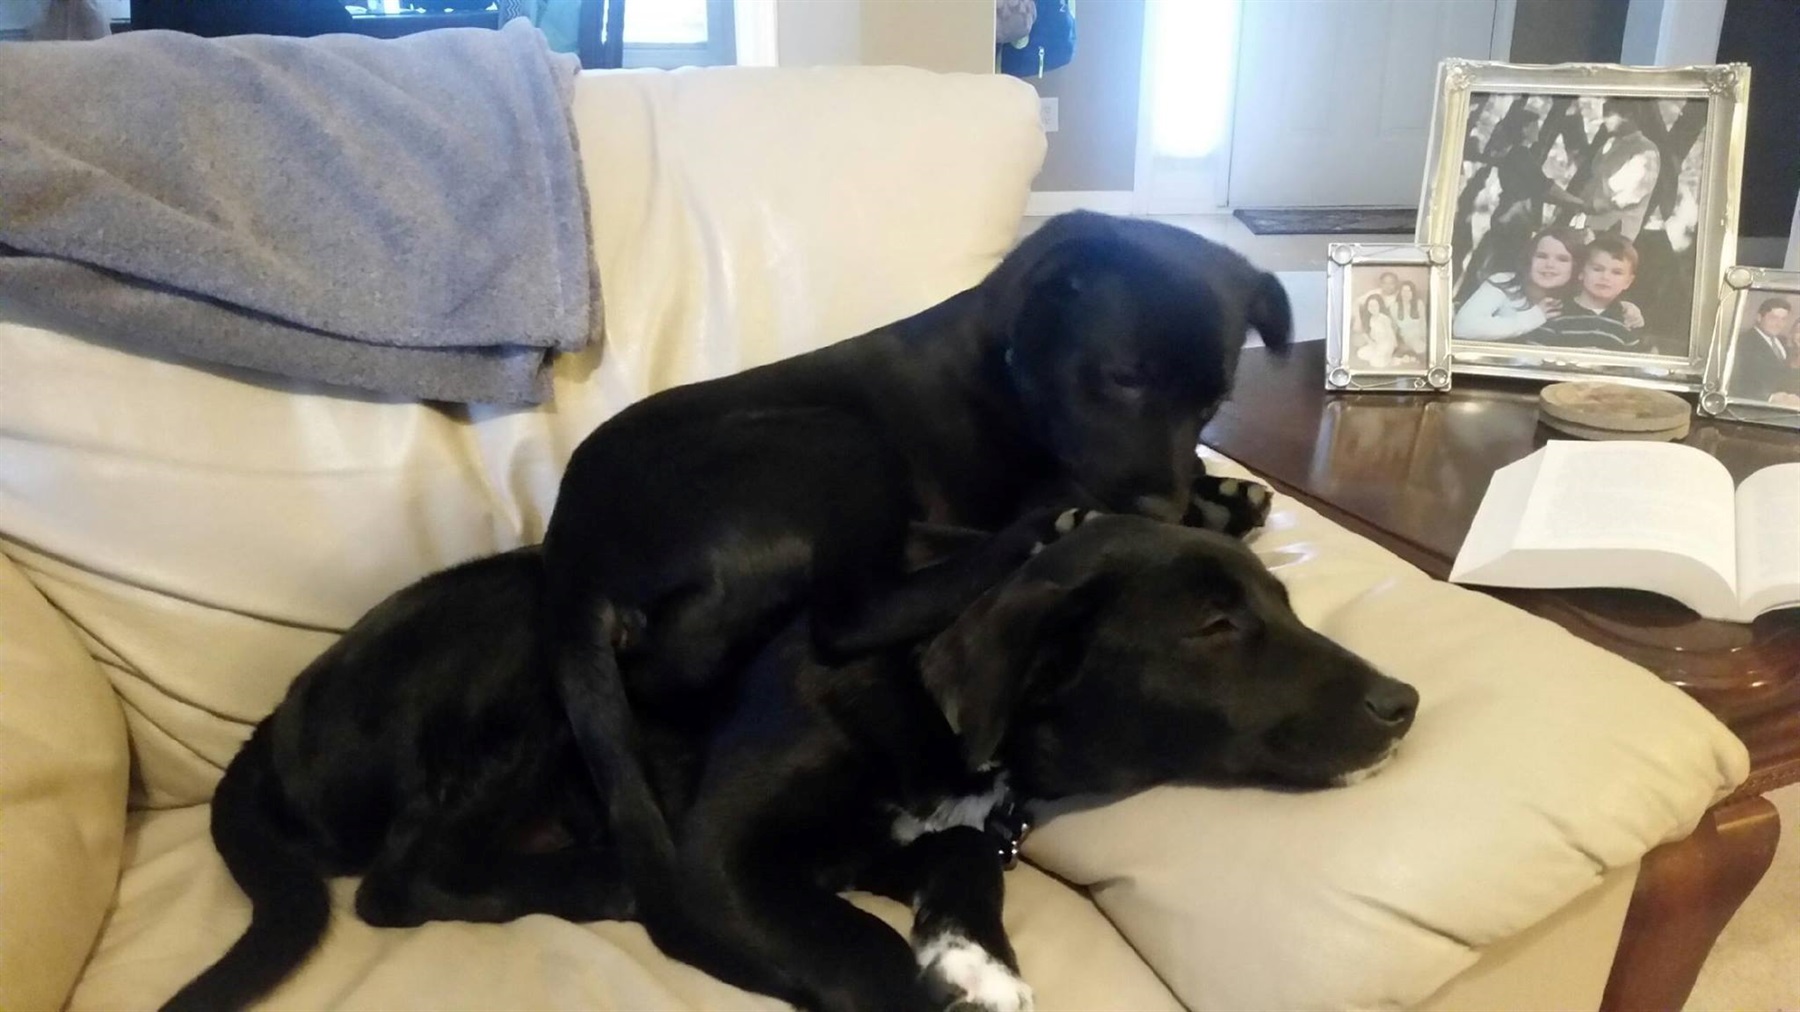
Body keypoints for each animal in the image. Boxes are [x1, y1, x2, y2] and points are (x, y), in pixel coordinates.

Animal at [164, 515, 1416, 1012]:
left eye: (1283, 602)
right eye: (1215, 626)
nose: (1404, 701)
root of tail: (275, 721)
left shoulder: (913, 840)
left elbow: (964, 869)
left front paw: (975, 959)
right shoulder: (723, 853)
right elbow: (860, 951)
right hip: (526, 646)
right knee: (400, 883)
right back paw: (605, 881)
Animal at [537, 212, 1294, 958]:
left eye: (1216, 401)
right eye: (1125, 376)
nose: (1161, 510)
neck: (1011, 378)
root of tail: (572, 565)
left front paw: (1224, 493)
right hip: (833, 441)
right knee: (842, 616)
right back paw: (1044, 531)